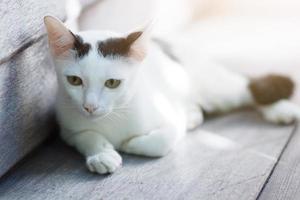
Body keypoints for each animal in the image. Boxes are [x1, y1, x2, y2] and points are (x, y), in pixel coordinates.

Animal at [43, 16, 300, 174]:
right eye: (74, 81)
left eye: (112, 83)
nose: (90, 107)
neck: (114, 116)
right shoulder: (67, 127)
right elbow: (85, 135)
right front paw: (101, 154)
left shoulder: (167, 114)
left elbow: (164, 139)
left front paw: (131, 144)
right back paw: (193, 115)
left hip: (211, 85)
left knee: (246, 88)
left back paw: (281, 109)